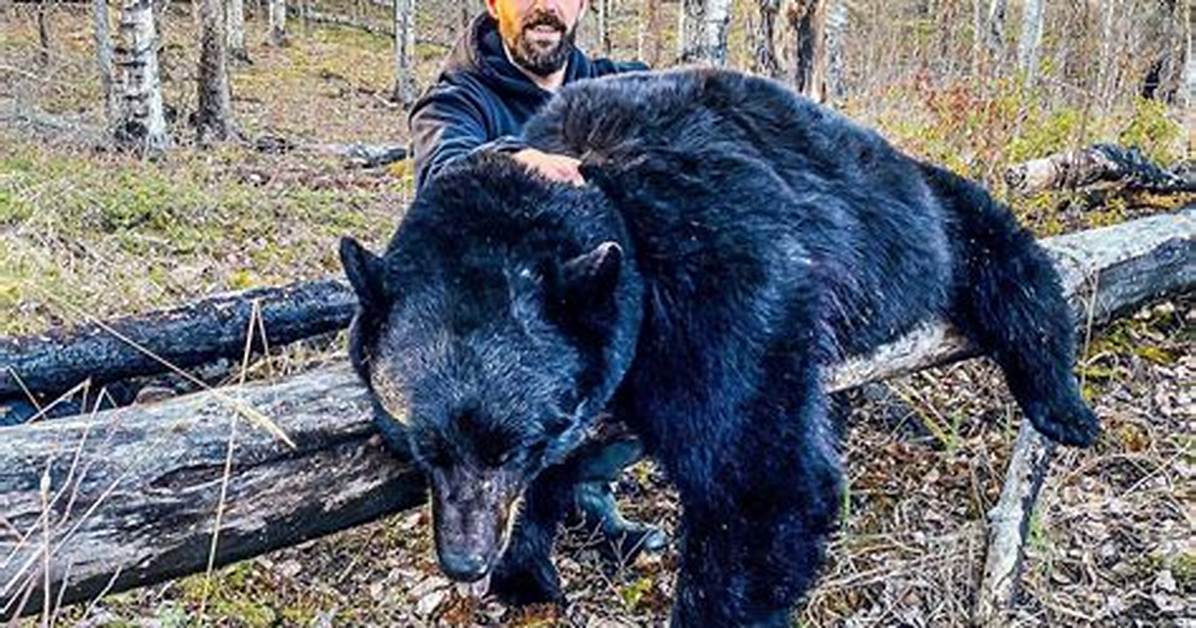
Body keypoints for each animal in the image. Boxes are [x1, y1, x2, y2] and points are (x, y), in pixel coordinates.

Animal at [338, 67, 1098, 627]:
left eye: (513, 445)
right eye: (423, 446)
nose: (464, 560)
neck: (601, 191)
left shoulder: (721, 280)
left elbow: (760, 484)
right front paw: (528, 569)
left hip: (939, 214)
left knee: (1014, 273)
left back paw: (1065, 408)